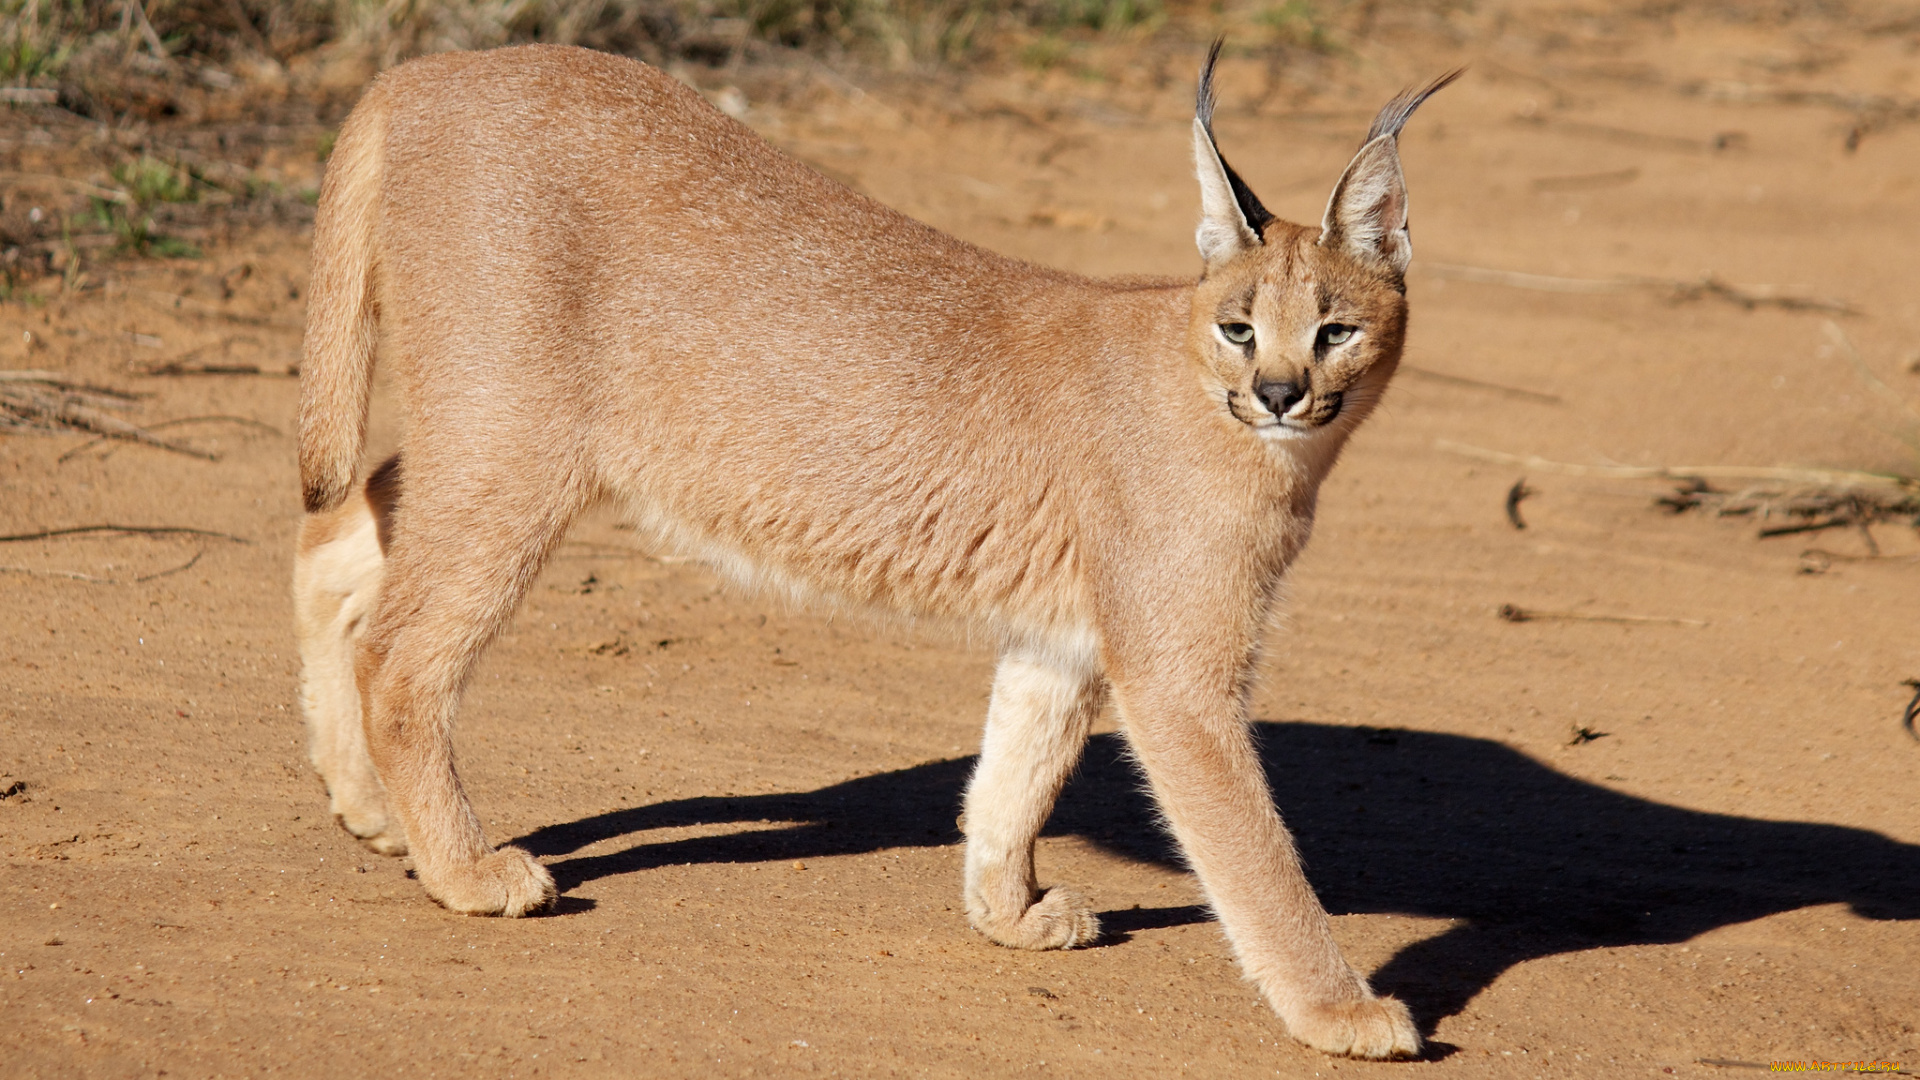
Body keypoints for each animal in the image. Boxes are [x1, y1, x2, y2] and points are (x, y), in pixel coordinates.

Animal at [288, 39, 1451, 1053]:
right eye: (1240, 326)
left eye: (1338, 330)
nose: (1281, 392)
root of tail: (428, 68)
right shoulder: (1179, 673)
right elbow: (1256, 854)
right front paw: (1343, 1011)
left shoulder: (1065, 634)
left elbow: (1014, 774)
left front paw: (1006, 912)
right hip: (518, 444)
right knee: (401, 649)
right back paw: (465, 870)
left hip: (500, 438)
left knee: (338, 529)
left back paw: (365, 808)